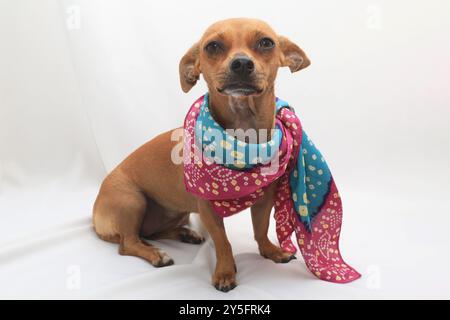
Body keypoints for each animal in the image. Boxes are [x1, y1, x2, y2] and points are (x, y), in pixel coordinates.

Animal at [91, 18, 310, 292]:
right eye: (212, 46)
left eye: (266, 43)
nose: (241, 63)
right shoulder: (207, 210)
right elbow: (223, 242)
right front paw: (225, 272)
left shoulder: (264, 200)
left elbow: (261, 229)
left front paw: (271, 251)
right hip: (132, 201)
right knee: (128, 243)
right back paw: (156, 254)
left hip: (174, 213)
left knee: (148, 233)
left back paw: (184, 234)